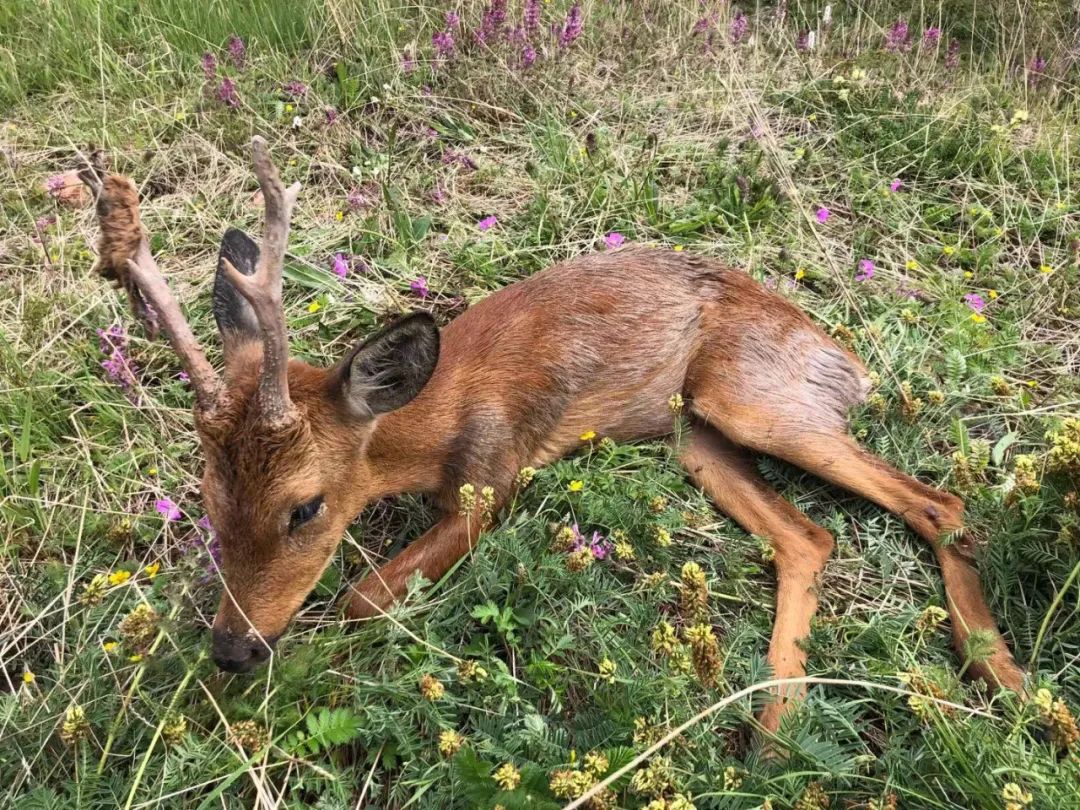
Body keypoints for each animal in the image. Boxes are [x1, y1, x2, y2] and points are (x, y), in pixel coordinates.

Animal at [79, 136, 1023, 734]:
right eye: (209, 498)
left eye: (305, 508)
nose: (233, 647)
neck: (432, 418)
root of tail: (846, 360)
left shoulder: (494, 477)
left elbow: (362, 597)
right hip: (694, 437)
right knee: (808, 537)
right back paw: (771, 733)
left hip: (751, 398)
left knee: (940, 501)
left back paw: (1006, 681)